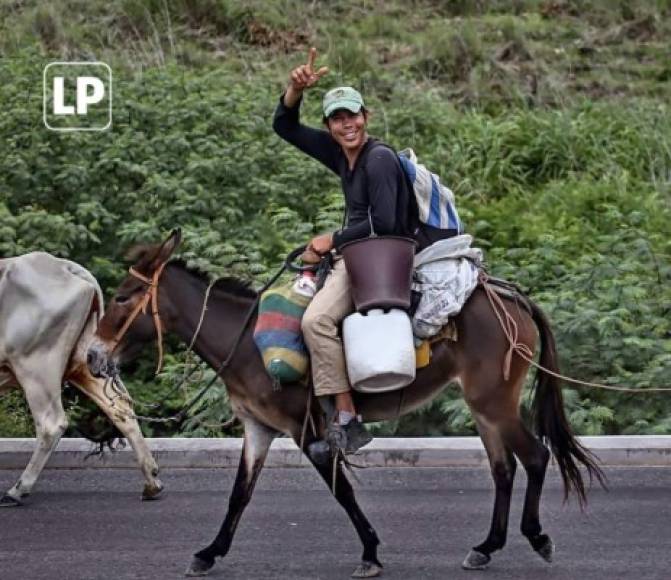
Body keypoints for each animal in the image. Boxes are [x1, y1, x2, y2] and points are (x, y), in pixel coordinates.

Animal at [0, 251, 163, 506]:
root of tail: (61, 265)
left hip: (36, 366)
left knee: (51, 423)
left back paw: (17, 490)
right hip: (86, 361)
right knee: (120, 406)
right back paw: (152, 482)